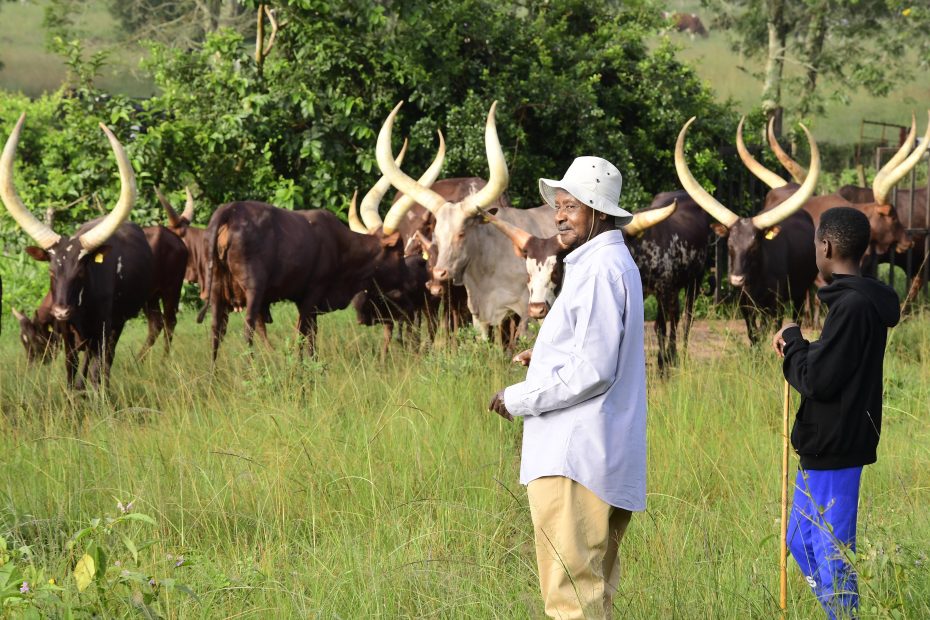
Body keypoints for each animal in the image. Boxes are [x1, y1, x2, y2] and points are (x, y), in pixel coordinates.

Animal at [0, 112, 152, 388]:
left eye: (81, 271)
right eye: (51, 271)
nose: (62, 311)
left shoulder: (102, 331)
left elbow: (96, 371)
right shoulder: (67, 338)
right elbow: (71, 375)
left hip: (118, 324)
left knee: (105, 363)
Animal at [672, 116, 816, 344]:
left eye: (755, 245)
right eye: (730, 244)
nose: (736, 280)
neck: (756, 277)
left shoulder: (776, 305)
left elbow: (774, 330)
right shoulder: (745, 304)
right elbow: (753, 334)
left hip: (800, 293)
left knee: (797, 317)